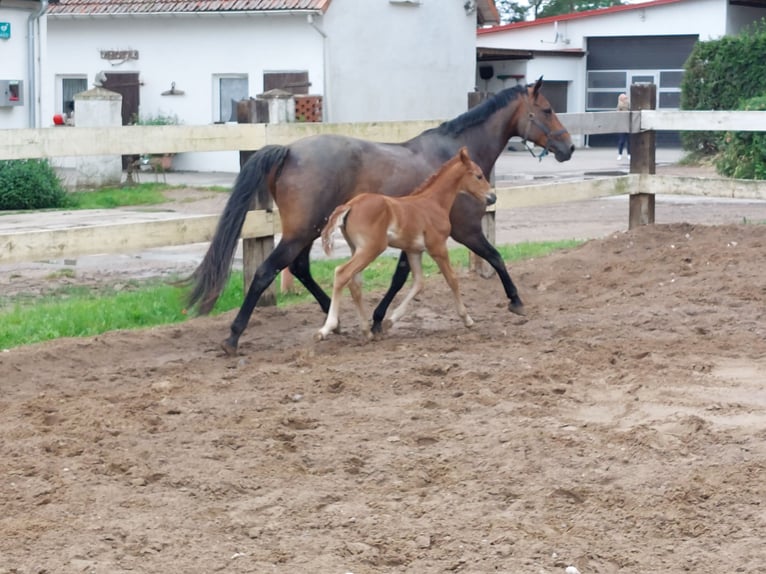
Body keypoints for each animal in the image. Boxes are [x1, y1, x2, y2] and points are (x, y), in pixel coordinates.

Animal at [316, 147, 494, 341]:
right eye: (479, 176)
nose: (492, 197)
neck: (433, 203)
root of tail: (350, 205)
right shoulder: (437, 247)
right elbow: (452, 279)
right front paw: (467, 319)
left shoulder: (413, 251)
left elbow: (418, 283)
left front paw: (389, 321)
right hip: (371, 249)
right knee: (342, 273)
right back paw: (327, 328)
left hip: (356, 249)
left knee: (354, 283)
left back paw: (366, 330)